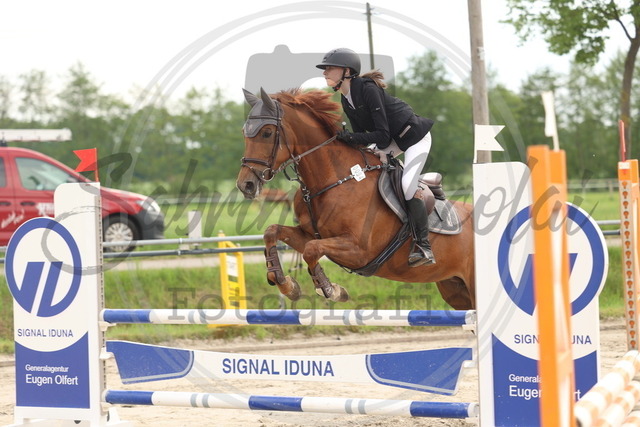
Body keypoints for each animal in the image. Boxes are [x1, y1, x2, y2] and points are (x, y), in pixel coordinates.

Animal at [236, 88, 476, 310]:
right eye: (244, 133)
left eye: (267, 133)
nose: (245, 185)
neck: (333, 180)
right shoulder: (310, 235)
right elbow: (274, 232)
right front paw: (286, 285)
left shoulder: (359, 251)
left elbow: (312, 250)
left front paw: (331, 290)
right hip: (455, 289)